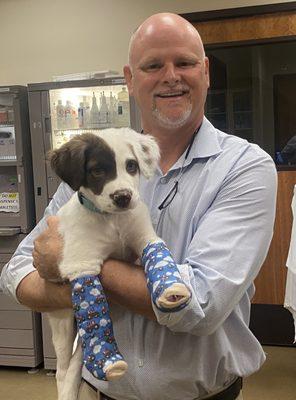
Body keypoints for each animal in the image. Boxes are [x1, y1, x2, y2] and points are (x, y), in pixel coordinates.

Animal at [46, 128, 161, 400]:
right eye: (97, 171)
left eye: (131, 166)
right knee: (63, 369)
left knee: (79, 355)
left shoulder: (141, 237)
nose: (123, 197)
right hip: (62, 321)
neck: (112, 221)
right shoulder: (82, 261)